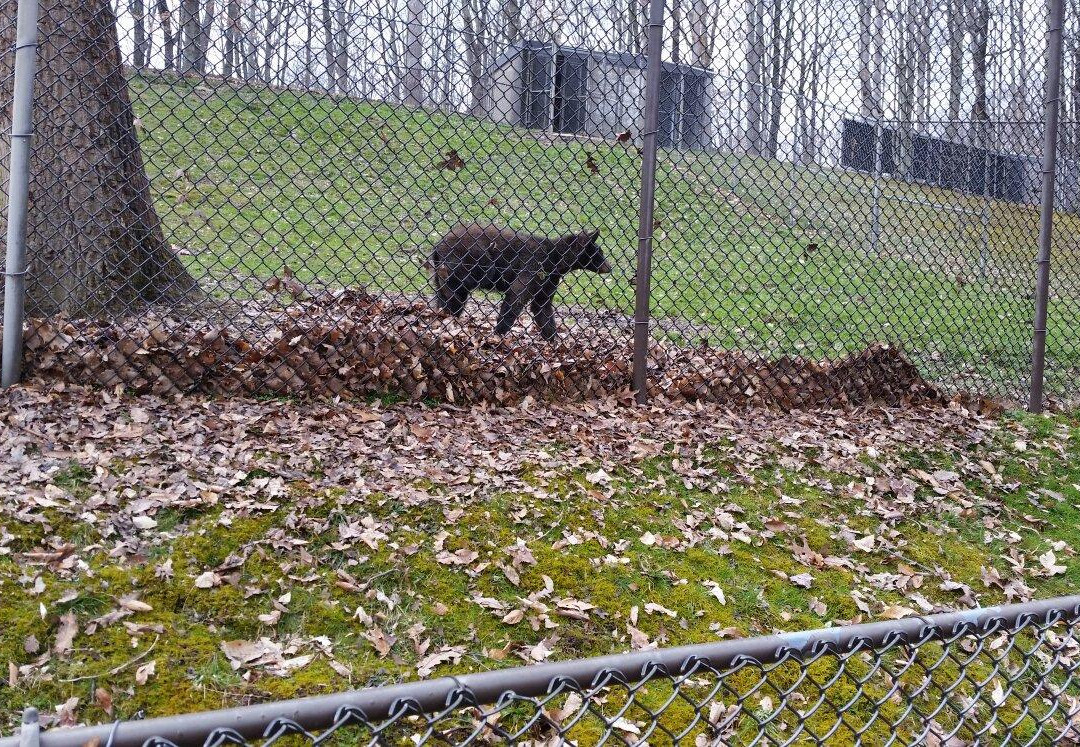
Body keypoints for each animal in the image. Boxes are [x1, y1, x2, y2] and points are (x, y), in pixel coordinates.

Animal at [432, 221, 617, 338]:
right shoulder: (533, 266)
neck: (555, 261)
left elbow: (542, 307)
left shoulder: (548, 279)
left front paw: (553, 341)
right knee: (456, 289)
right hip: (471, 259)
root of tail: (438, 244)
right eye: (599, 253)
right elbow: (516, 297)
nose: (610, 267)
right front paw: (498, 334)